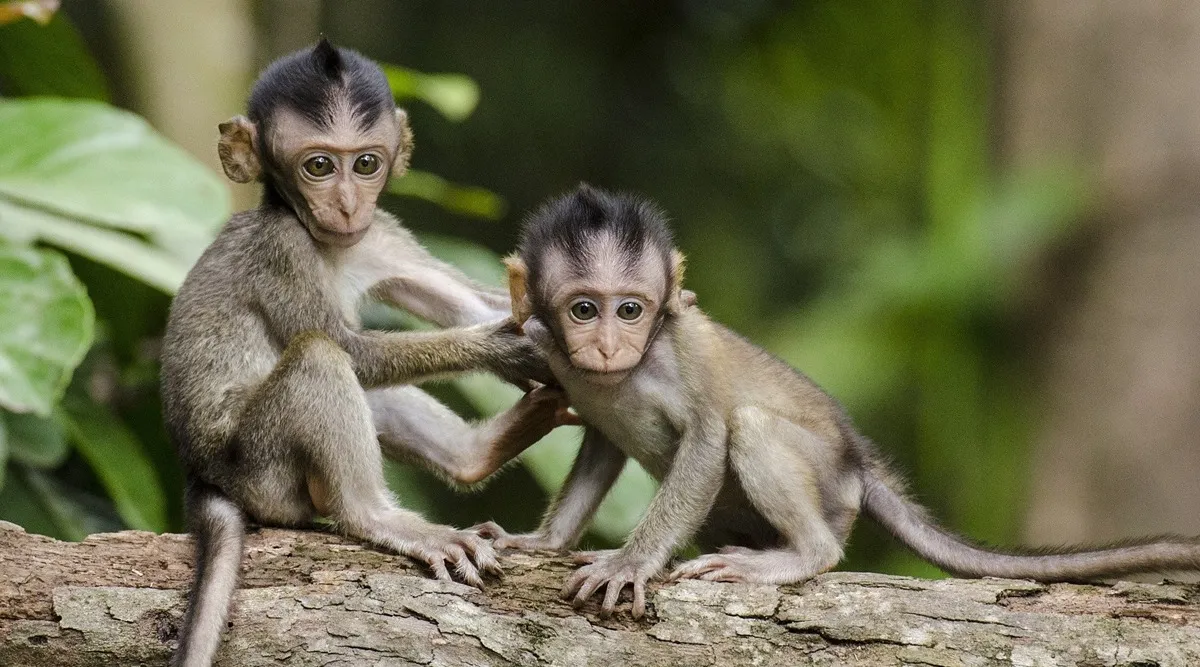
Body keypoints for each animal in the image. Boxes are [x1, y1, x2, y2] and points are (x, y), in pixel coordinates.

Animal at [161, 40, 568, 667]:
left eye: (366, 164)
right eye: (319, 166)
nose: (349, 205)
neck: (329, 243)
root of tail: (201, 474)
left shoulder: (382, 235)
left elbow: (470, 301)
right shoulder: (282, 249)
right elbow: (352, 350)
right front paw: (503, 347)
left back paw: (477, 453)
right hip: (260, 471)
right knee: (320, 357)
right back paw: (376, 515)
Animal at [474, 184, 1200, 619]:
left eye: (630, 309)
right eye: (584, 309)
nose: (606, 345)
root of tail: (857, 461)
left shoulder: (678, 352)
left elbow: (708, 437)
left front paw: (629, 562)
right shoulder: (557, 357)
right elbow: (600, 442)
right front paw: (541, 540)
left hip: (829, 484)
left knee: (753, 428)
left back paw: (804, 554)